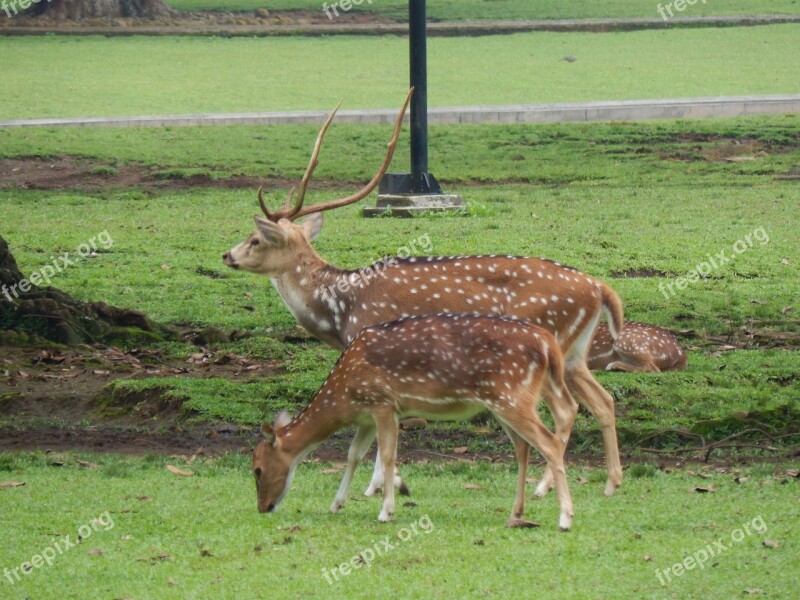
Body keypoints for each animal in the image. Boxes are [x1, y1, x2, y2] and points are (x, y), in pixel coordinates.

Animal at [223, 86, 624, 494]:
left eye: (255, 239)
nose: (227, 255)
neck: (339, 309)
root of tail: (600, 289)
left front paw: (378, 486)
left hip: (545, 345)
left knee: (568, 408)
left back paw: (546, 487)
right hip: (573, 353)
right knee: (603, 400)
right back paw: (611, 482)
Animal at [253, 314, 580, 528]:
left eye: (256, 469)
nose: (263, 507)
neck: (344, 394)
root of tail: (548, 344)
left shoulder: (383, 403)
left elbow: (387, 455)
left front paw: (386, 511)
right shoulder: (367, 415)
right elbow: (353, 454)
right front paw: (336, 504)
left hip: (511, 396)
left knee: (549, 442)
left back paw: (565, 517)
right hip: (508, 401)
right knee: (524, 446)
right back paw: (516, 514)